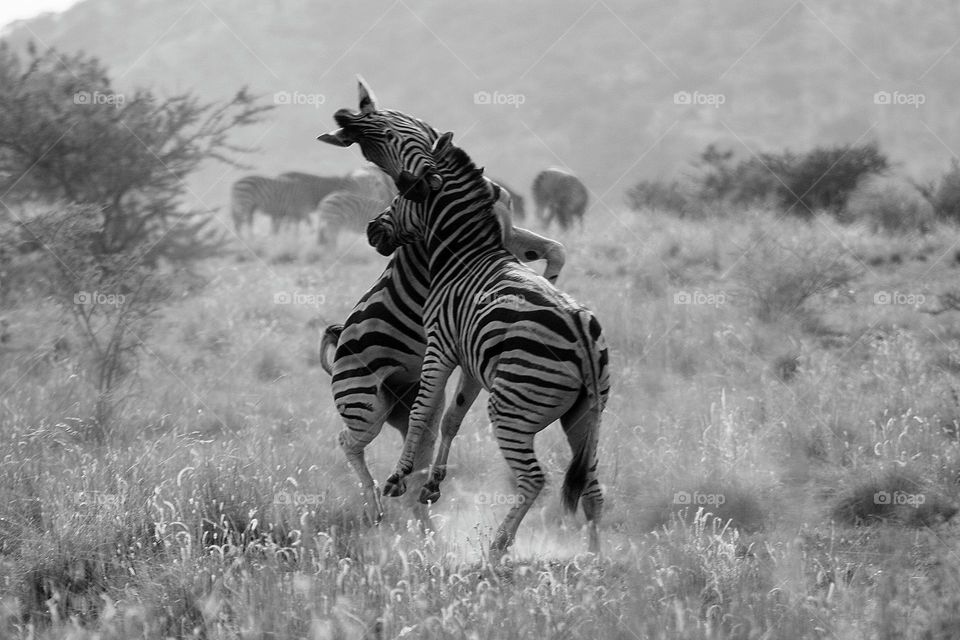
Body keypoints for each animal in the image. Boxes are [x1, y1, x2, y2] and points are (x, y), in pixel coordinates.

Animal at [318, 77, 568, 524]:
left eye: (386, 132)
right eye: (370, 154)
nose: (416, 182)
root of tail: (338, 334)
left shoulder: (507, 231)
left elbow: (555, 249)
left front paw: (547, 284)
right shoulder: (488, 242)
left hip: (404, 404)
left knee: (418, 445)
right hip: (364, 403)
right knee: (348, 442)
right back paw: (375, 505)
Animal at [366, 131, 608, 560]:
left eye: (398, 198)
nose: (370, 230)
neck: (465, 254)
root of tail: (579, 327)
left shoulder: (440, 345)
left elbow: (422, 411)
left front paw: (399, 476)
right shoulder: (471, 363)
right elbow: (452, 417)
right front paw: (433, 484)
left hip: (511, 410)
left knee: (534, 480)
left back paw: (497, 547)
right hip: (585, 419)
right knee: (593, 490)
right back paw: (594, 560)